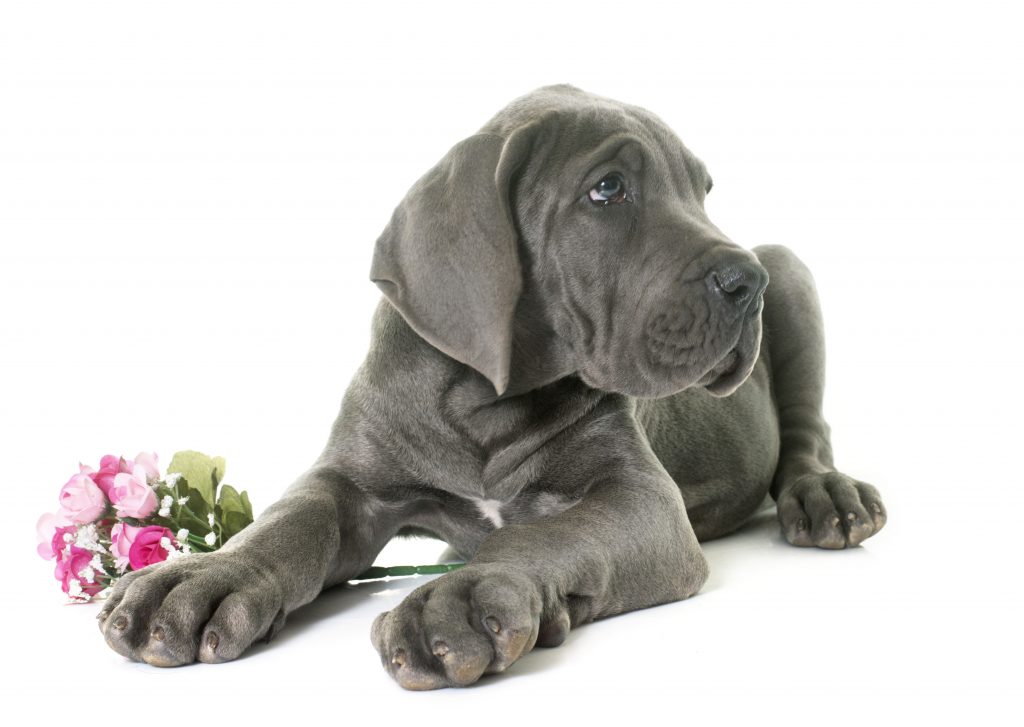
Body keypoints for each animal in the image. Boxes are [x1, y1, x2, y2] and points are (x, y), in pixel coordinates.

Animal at [101, 83, 888, 688]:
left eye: (703, 192)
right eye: (607, 189)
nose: (742, 282)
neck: (485, 402)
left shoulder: (645, 499)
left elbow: (547, 532)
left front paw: (459, 597)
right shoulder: (352, 479)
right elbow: (291, 518)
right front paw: (205, 575)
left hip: (791, 271)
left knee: (808, 432)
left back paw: (826, 494)